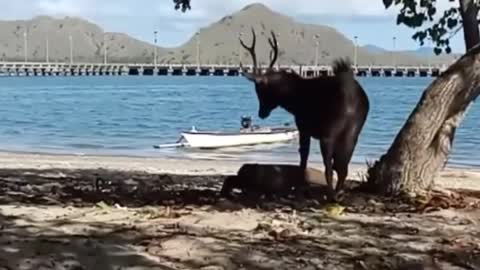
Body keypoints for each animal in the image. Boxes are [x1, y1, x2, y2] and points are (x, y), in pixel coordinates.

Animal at [238, 27, 370, 200]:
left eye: (260, 90)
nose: (261, 113)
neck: (293, 101)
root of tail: (353, 100)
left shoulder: (303, 127)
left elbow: (303, 158)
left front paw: (300, 188)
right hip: (354, 132)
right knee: (343, 166)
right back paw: (338, 194)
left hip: (330, 131)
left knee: (330, 167)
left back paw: (330, 195)